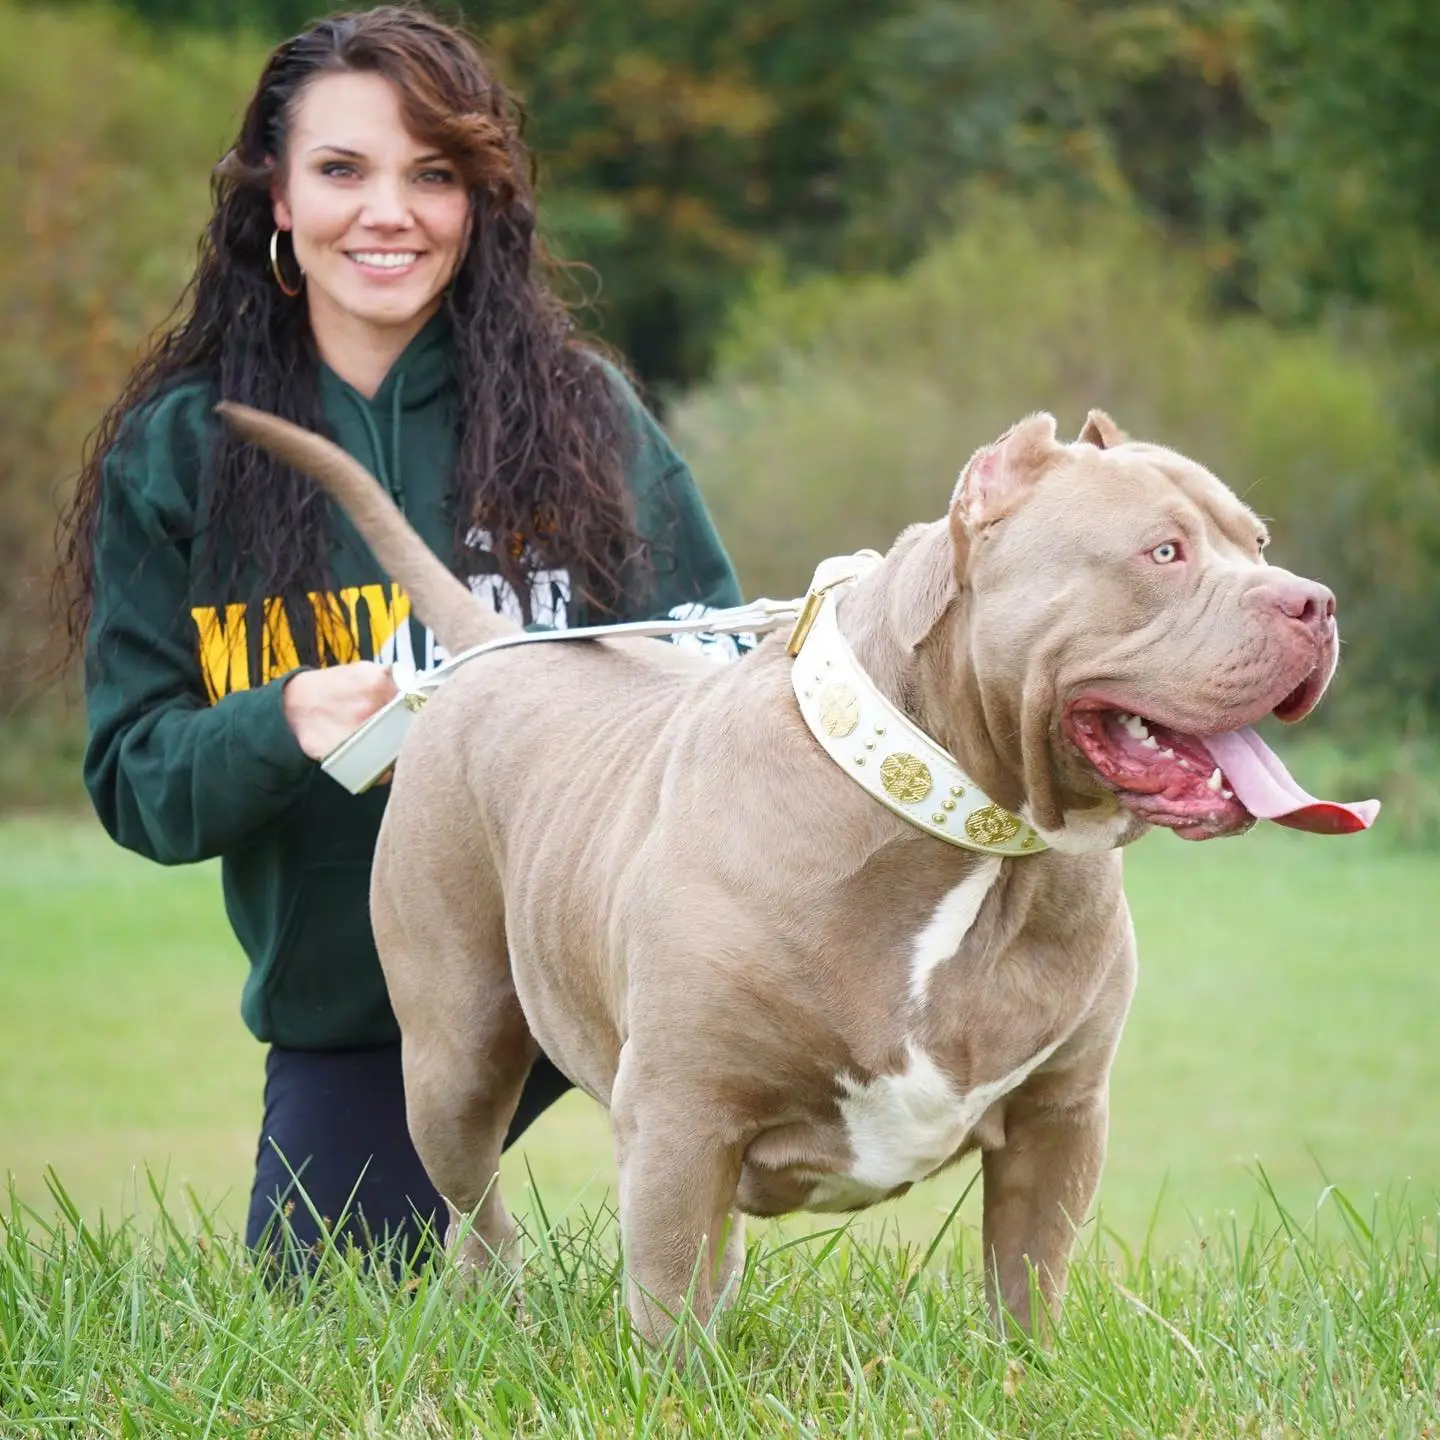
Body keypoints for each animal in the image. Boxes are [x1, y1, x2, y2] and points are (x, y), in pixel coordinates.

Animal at [216, 400, 1382, 1342]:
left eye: (1257, 541)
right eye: (1163, 552)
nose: (1316, 601)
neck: (970, 835)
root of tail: (490, 647)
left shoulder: (1061, 1118)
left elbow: (1027, 1283)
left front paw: (1030, 1378)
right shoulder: (683, 1114)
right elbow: (667, 1312)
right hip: (454, 1058)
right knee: (474, 1195)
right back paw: (494, 1296)